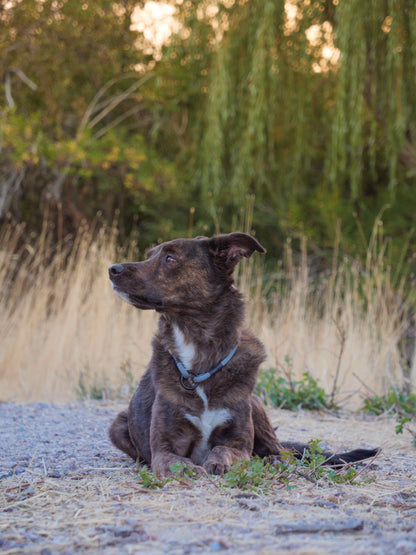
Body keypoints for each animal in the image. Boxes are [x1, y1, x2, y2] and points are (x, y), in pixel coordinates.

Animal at [108, 232, 380, 476]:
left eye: (170, 258)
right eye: (149, 256)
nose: (112, 269)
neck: (199, 359)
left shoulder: (239, 444)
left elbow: (224, 450)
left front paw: (218, 462)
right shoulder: (163, 448)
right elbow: (172, 460)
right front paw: (186, 468)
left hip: (255, 405)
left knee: (281, 452)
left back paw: (274, 461)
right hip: (117, 425)